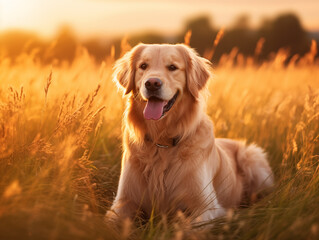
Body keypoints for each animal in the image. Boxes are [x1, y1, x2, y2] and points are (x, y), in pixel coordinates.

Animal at [106, 43, 274, 223]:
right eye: (143, 66)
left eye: (173, 67)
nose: (152, 83)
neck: (162, 142)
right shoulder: (122, 202)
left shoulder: (207, 207)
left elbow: (188, 227)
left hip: (251, 156)